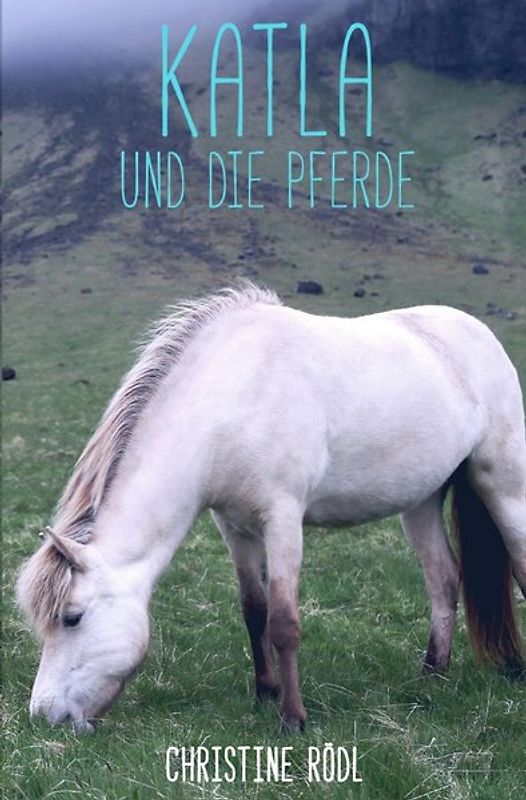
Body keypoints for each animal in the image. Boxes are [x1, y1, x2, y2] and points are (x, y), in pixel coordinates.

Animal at [17, 283, 526, 733]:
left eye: (72, 617)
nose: (45, 715)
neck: (233, 399)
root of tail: (479, 333)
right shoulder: (234, 526)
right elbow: (253, 609)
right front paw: (265, 693)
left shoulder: (282, 519)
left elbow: (284, 622)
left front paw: (293, 718)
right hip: (420, 501)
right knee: (443, 578)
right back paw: (432, 675)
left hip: (502, 484)